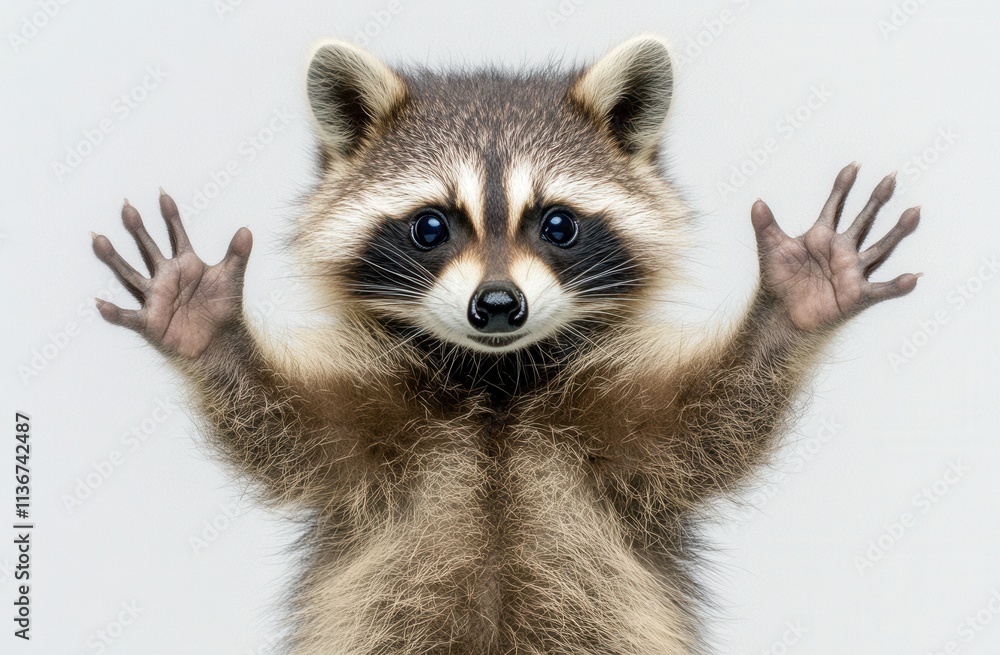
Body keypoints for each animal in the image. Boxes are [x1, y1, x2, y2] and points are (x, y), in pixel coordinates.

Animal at [91, 35, 920, 655]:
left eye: (557, 224)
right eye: (431, 226)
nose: (496, 305)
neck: (497, 390)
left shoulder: (618, 444)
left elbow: (713, 425)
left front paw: (794, 306)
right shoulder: (376, 438)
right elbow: (287, 430)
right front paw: (205, 330)